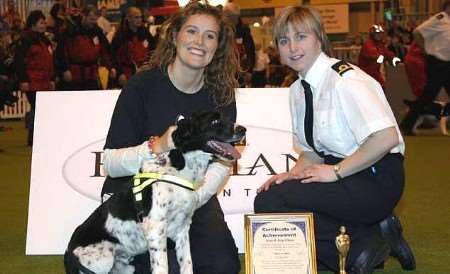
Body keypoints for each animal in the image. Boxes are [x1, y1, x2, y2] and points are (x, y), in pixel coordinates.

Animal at [63, 111, 246, 274]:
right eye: (214, 121)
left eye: (226, 116)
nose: (243, 129)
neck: (179, 170)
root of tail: (68, 253)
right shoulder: (156, 230)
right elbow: (162, 268)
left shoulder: (182, 230)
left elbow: (187, 265)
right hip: (102, 260)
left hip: (125, 267)